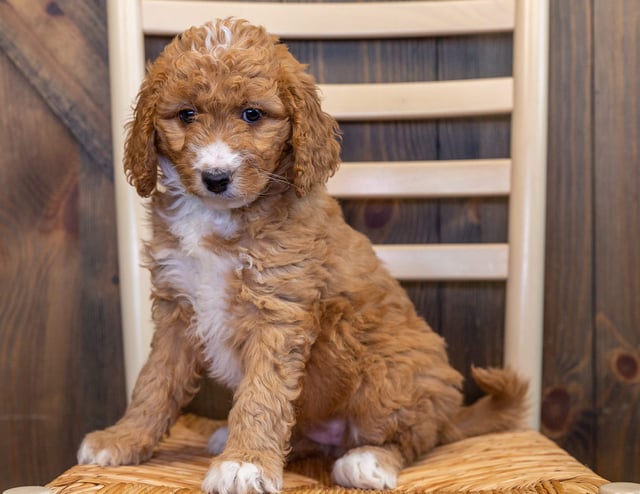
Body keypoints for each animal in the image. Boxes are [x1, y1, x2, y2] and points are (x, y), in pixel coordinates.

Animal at [79, 19, 528, 494]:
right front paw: (123, 439)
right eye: (186, 115)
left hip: (390, 373)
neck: (219, 217)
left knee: (414, 436)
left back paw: (369, 460)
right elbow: (154, 381)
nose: (216, 177)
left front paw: (245, 463)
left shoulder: (277, 310)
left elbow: (262, 392)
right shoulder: (177, 308)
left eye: (252, 114)